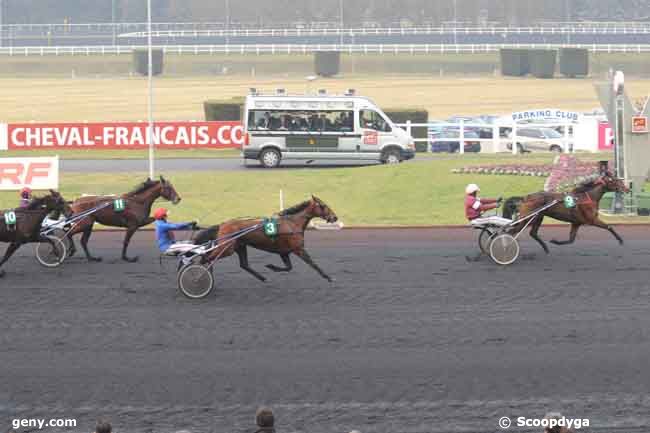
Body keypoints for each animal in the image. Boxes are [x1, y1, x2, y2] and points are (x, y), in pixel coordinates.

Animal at [194, 194, 340, 282]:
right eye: (323, 206)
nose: (335, 217)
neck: (292, 223)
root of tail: (222, 224)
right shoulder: (298, 249)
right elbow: (313, 264)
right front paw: (328, 277)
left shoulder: (284, 252)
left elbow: (288, 267)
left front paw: (271, 267)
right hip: (227, 248)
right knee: (206, 258)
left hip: (239, 246)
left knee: (243, 264)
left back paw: (263, 278)